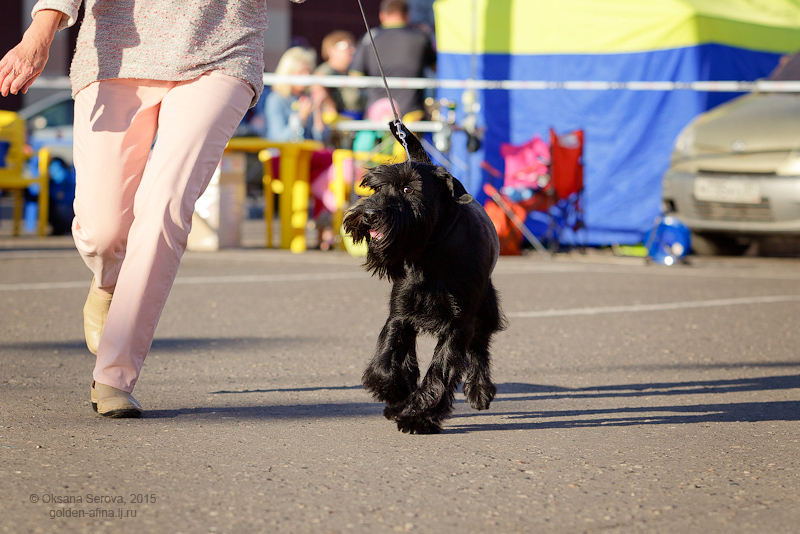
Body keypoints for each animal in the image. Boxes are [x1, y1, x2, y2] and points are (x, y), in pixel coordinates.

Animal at [342, 122, 506, 434]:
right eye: (377, 187)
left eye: (408, 189)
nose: (369, 214)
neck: (431, 252)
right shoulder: (401, 313)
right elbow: (387, 357)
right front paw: (394, 392)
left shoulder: (458, 324)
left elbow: (440, 371)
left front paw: (419, 416)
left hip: (484, 310)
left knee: (479, 348)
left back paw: (479, 390)